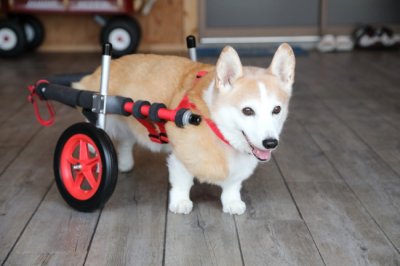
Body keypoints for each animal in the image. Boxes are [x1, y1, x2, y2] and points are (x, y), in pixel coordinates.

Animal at [73, 43, 296, 214]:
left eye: (277, 109)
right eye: (247, 111)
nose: (271, 143)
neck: (217, 127)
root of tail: (99, 71)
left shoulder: (238, 168)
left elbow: (232, 185)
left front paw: (232, 203)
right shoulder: (181, 156)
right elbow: (182, 181)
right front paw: (180, 202)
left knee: (126, 141)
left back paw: (125, 163)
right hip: (101, 116)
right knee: (94, 135)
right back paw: (93, 159)